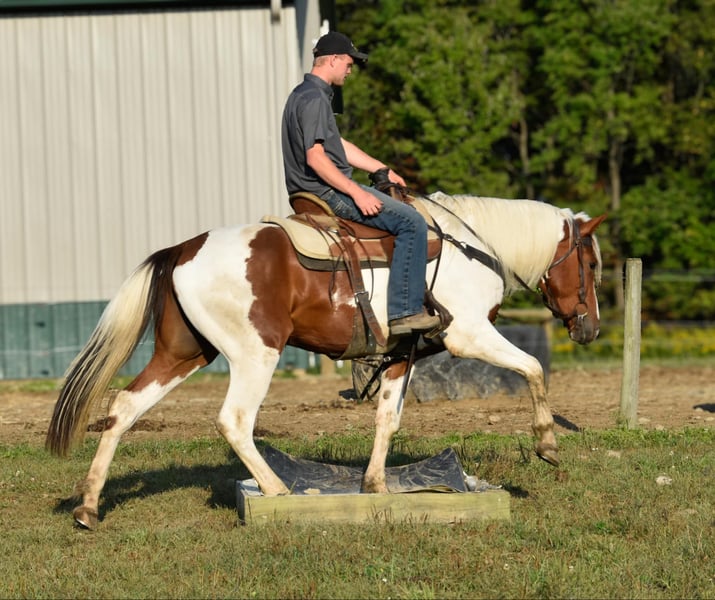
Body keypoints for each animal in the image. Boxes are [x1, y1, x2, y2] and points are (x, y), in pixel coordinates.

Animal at [46, 191, 606, 529]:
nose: (592, 328)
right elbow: (533, 368)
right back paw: (277, 490)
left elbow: (387, 418)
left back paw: (89, 506)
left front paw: (375, 486)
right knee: (234, 420)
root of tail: (183, 248)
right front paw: (547, 444)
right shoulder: (469, 334)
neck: (471, 249)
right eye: (592, 263)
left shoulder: (402, 353)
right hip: (255, 354)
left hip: (183, 353)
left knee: (123, 408)